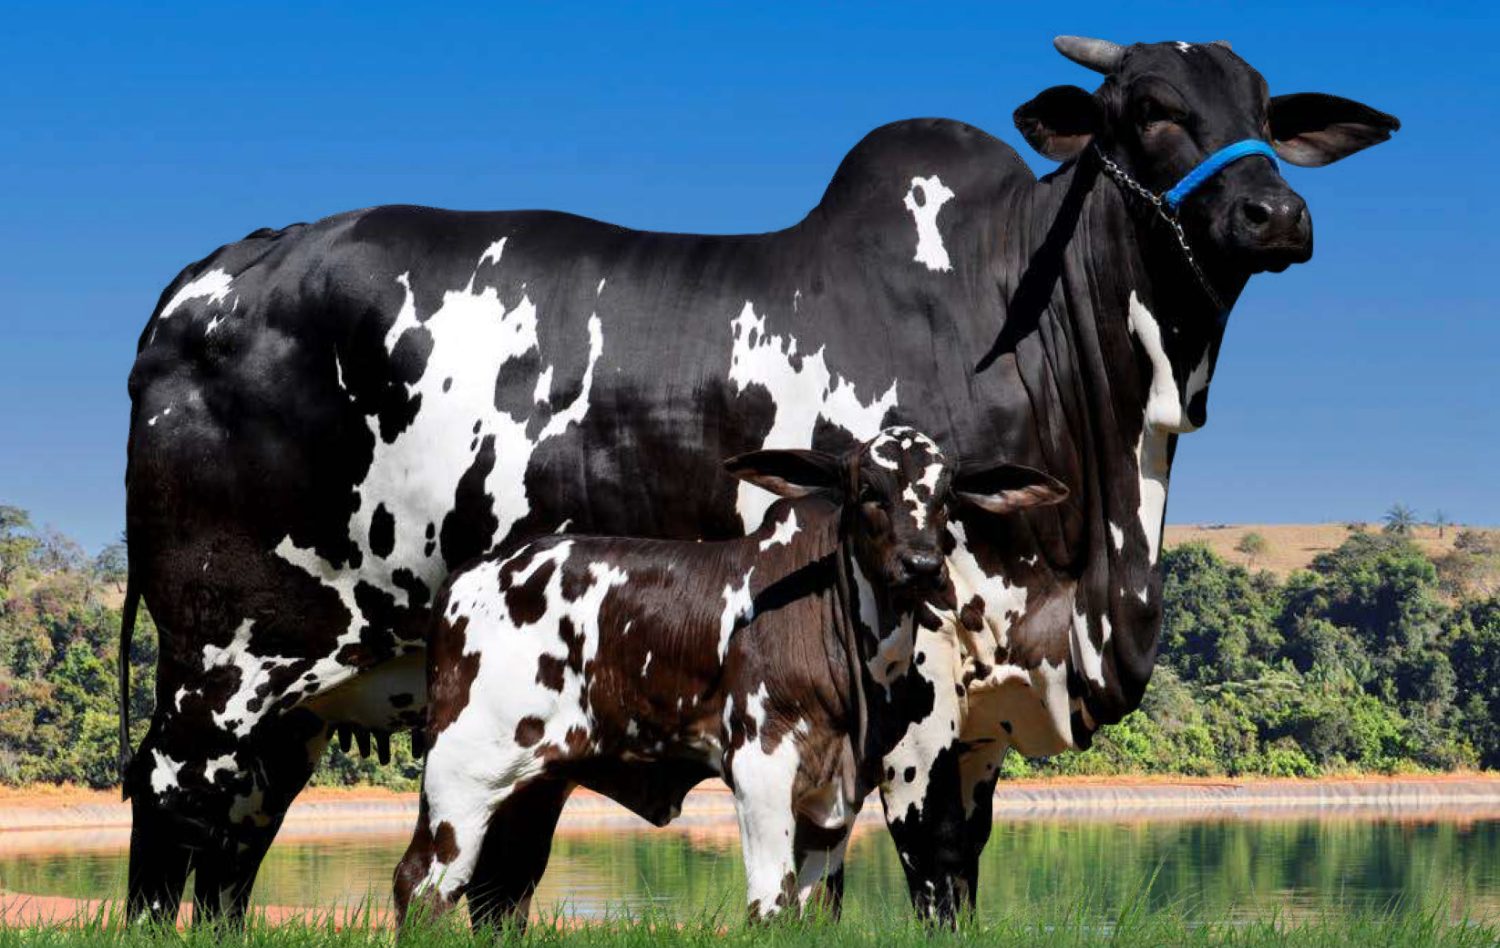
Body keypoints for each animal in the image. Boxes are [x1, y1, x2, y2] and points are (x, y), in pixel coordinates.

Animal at [391, 428, 1068, 926]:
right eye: (867, 490)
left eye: (947, 496)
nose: (923, 565)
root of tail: (469, 575)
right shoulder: (760, 764)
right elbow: (770, 906)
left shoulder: (833, 800)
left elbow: (810, 914)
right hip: (460, 772)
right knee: (422, 886)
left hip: (533, 784)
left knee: (500, 896)